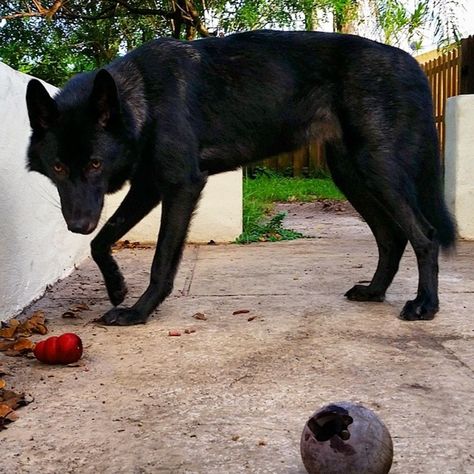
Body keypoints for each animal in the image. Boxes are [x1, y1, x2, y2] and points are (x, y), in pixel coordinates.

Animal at [25, 30, 456, 326]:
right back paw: (375, 291)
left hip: (377, 169)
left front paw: (139, 311)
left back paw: (426, 305)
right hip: (351, 175)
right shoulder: (149, 188)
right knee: (391, 236)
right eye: (59, 168)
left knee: (424, 234)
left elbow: (161, 260)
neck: (141, 97)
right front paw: (116, 288)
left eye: (95, 164)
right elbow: (102, 239)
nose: (77, 224)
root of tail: (411, 63)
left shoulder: (180, 186)